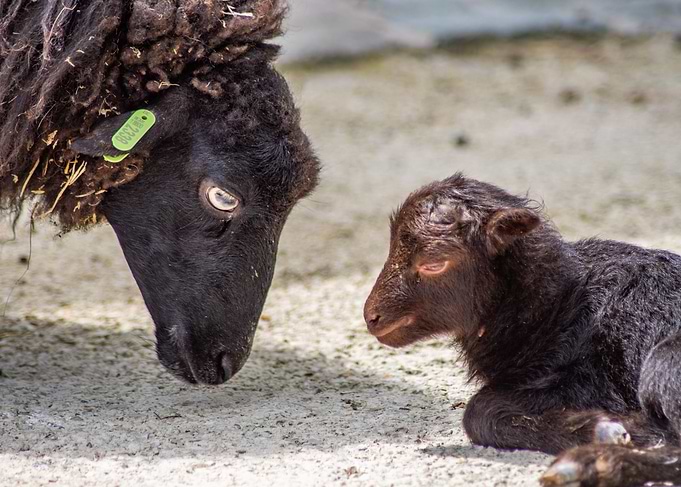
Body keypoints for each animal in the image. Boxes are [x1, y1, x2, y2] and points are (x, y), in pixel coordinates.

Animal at [363, 173, 681, 487]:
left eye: (434, 263)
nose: (371, 317)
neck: (559, 308)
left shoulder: (589, 381)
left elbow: (478, 410)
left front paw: (609, 428)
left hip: (663, 362)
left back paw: (588, 464)